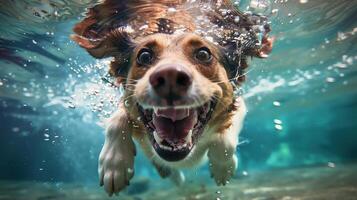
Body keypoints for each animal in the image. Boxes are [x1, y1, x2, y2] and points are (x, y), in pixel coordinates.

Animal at [71, 0, 272, 195]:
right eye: (144, 56)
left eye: (203, 54)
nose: (170, 77)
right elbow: (116, 119)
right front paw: (114, 164)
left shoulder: (238, 105)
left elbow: (225, 139)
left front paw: (223, 167)